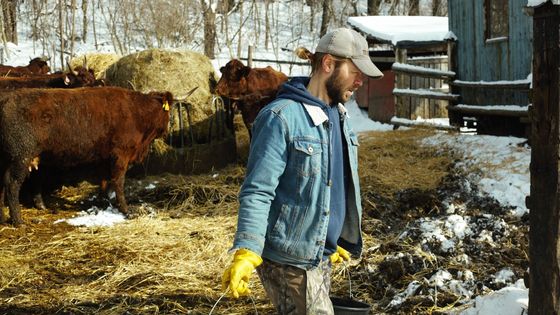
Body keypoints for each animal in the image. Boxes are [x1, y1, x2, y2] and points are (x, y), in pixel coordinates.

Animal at [0, 86, 172, 226]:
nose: (166, 131)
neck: (136, 111)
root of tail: (6, 98)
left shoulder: (105, 158)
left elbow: (104, 182)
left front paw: (103, 203)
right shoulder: (121, 155)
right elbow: (118, 182)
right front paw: (125, 209)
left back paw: (3, 218)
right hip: (21, 157)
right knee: (12, 184)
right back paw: (18, 221)